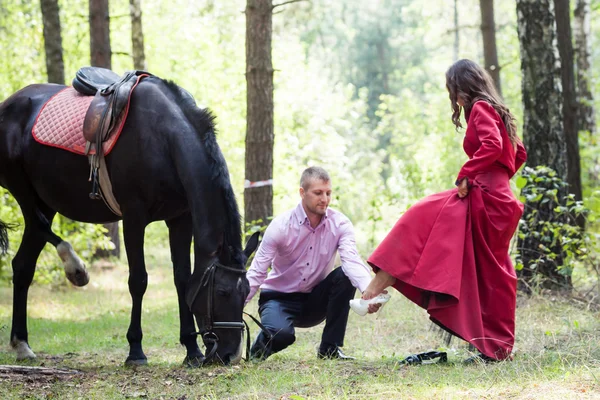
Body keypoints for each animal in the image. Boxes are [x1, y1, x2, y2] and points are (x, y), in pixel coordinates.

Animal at [0, 74, 256, 366]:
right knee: (41, 227)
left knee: (23, 265)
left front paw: (192, 349)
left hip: (45, 200)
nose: (231, 355)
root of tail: (8, 105)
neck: (163, 140)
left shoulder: (180, 219)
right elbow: (138, 281)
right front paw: (135, 350)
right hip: (22, 190)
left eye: (247, 292)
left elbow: (182, 279)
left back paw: (21, 343)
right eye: (223, 292)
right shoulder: (133, 217)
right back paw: (75, 268)